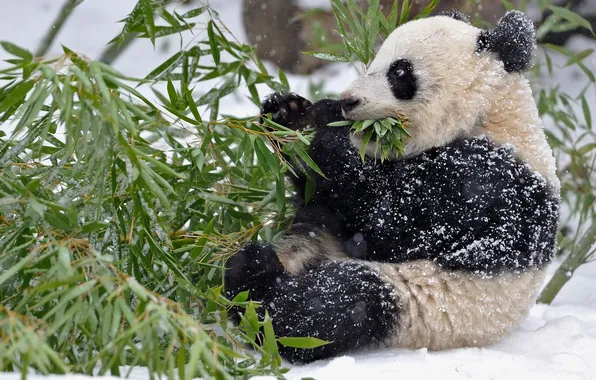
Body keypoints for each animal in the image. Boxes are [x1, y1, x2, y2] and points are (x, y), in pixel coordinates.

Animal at [224, 10, 560, 364]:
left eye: (399, 72)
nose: (347, 101)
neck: (491, 112)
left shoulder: (486, 180)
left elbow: (391, 222)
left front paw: (321, 124)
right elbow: (322, 197)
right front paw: (287, 112)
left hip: (421, 301)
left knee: (339, 302)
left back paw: (260, 285)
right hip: (316, 243)